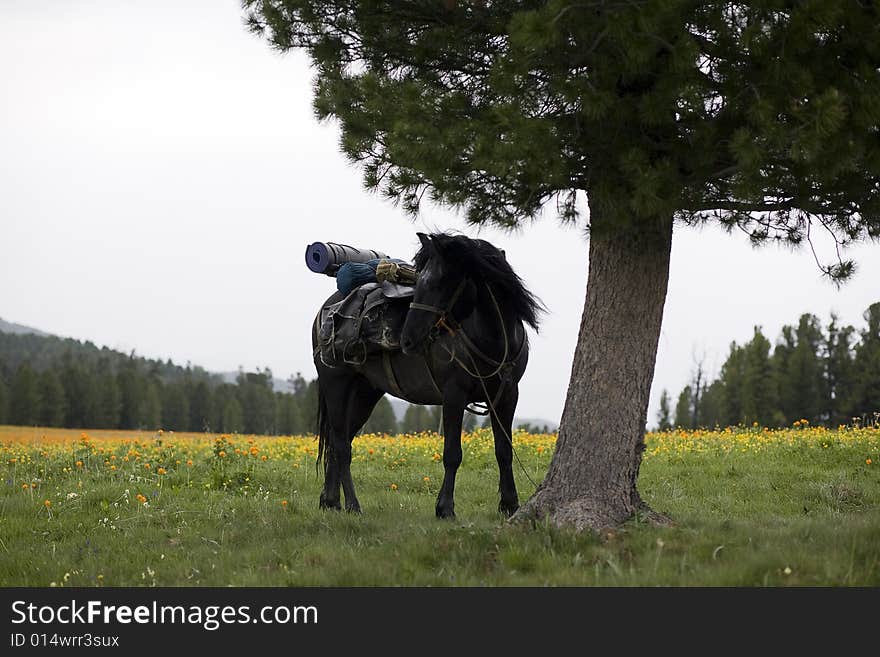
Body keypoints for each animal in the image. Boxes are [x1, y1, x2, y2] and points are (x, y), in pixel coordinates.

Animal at [312, 231, 540, 516]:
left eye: (440, 282)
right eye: (420, 281)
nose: (408, 340)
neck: (493, 339)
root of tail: (325, 312)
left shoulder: (507, 396)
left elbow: (504, 450)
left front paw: (510, 504)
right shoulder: (454, 395)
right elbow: (452, 453)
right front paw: (445, 508)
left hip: (365, 393)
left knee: (338, 440)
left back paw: (330, 501)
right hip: (336, 384)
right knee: (341, 446)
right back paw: (353, 505)